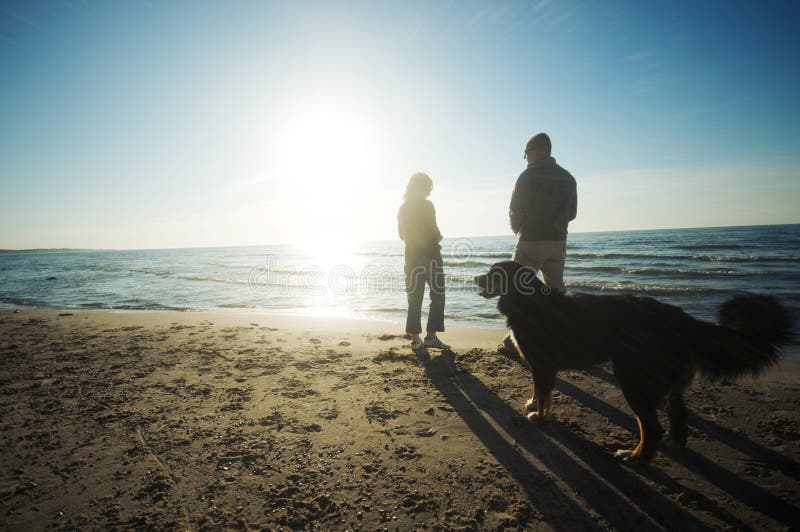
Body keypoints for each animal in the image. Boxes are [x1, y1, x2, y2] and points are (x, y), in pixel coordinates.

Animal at [476, 260, 792, 464]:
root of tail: (680, 318)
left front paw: (539, 418)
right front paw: (532, 405)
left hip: (634, 380)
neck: (526, 300)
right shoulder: (540, 366)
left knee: (651, 428)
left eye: (494, 273)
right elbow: (540, 392)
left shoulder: (543, 364)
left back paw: (636, 458)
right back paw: (671, 445)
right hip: (664, 383)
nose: (476, 279)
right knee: (678, 415)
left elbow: (544, 396)